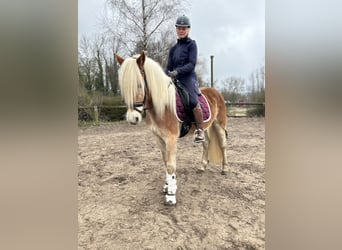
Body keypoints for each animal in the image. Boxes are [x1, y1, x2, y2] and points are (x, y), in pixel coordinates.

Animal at [115, 51, 230, 205]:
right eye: (124, 87)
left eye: (139, 85)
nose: (132, 118)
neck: (162, 106)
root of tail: (215, 92)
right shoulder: (159, 138)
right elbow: (165, 163)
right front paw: (167, 186)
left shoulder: (171, 138)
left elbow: (170, 165)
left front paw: (170, 195)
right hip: (205, 129)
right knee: (206, 144)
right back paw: (202, 166)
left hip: (219, 125)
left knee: (223, 145)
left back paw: (224, 169)